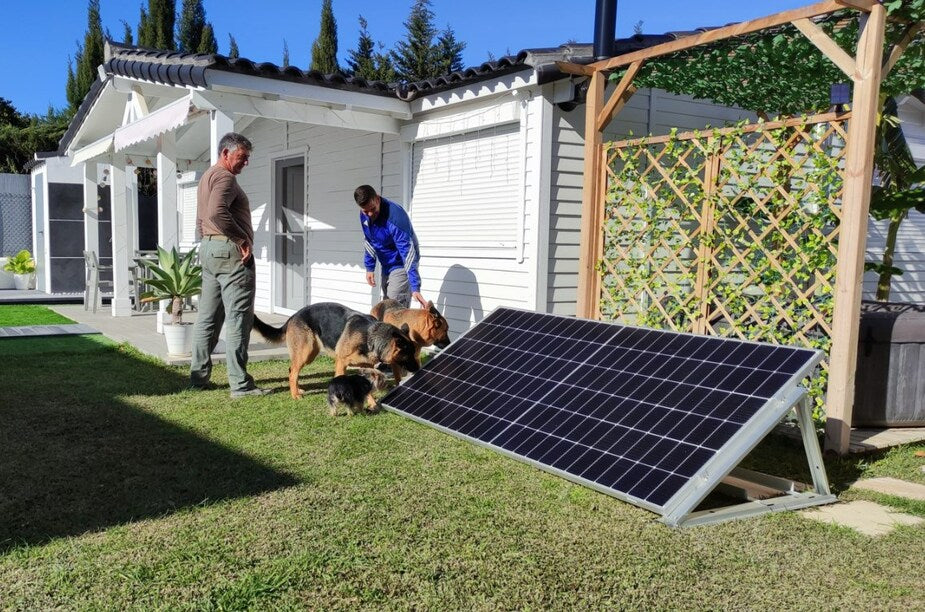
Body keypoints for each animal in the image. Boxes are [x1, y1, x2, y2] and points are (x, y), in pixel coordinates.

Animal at [249, 302, 416, 400]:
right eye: (408, 355)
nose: (417, 369)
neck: (370, 336)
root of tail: (293, 316)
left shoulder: (367, 366)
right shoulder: (341, 362)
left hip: (309, 354)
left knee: (292, 370)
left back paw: (297, 389)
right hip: (305, 353)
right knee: (293, 372)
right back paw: (294, 394)